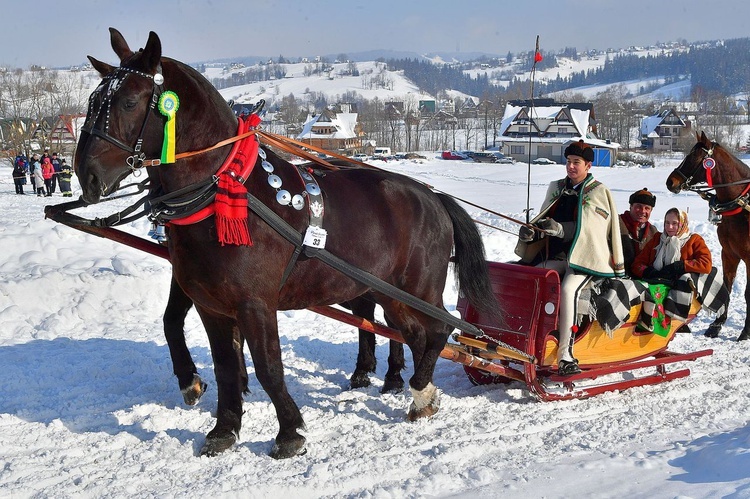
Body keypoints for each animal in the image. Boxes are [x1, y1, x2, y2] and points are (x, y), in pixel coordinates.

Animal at [75, 26, 500, 458]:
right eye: (93, 100)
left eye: (129, 102)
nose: (86, 175)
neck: (225, 192)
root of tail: (433, 197)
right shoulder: (211, 303)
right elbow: (223, 363)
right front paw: (224, 428)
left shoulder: (255, 303)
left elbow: (268, 365)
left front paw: (289, 431)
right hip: (388, 291)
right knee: (411, 333)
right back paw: (414, 391)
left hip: (418, 287)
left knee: (438, 329)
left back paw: (416, 386)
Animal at [668, 130, 750, 340]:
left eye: (693, 157)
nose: (670, 181)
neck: (742, 207)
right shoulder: (728, 253)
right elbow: (727, 288)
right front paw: (717, 324)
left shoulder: (749, 258)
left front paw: (746, 330)